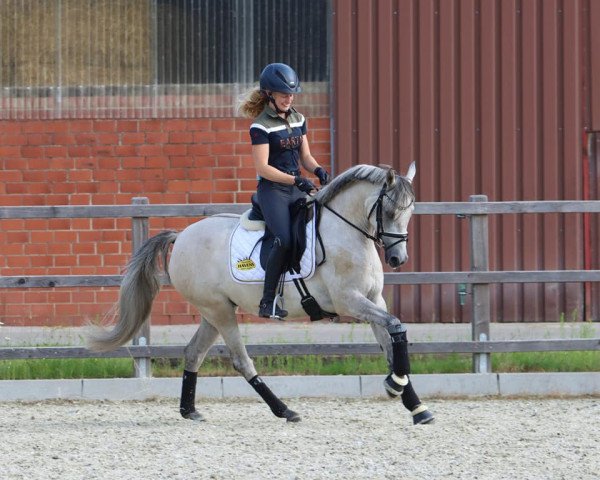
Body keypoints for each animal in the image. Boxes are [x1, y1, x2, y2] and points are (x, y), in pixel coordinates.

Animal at [88, 164, 436, 424]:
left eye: (410, 211)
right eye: (388, 210)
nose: (398, 259)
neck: (347, 233)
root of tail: (182, 235)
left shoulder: (373, 300)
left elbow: (392, 339)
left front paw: (414, 405)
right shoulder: (349, 301)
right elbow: (397, 327)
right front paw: (395, 385)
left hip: (213, 312)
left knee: (193, 353)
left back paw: (190, 410)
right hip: (220, 312)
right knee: (242, 362)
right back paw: (285, 410)